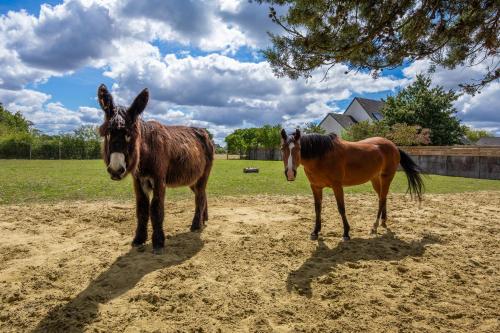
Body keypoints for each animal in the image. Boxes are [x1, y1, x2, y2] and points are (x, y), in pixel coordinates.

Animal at [98, 84, 214, 253]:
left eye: (129, 134)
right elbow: (141, 209)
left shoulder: (159, 180)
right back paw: (204, 219)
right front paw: (139, 239)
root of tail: (204, 132)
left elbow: (156, 209)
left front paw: (158, 242)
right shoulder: (138, 181)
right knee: (203, 194)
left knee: (199, 196)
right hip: (192, 178)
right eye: (108, 134)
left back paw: (196, 225)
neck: (147, 152)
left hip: (203, 175)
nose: (115, 170)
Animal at [280, 128, 424, 240]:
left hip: (386, 177)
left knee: (382, 199)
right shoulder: (315, 187)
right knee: (382, 197)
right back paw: (383, 221)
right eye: (282, 148)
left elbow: (341, 208)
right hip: (375, 179)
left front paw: (346, 233)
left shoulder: (337, 186)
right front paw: (315, 231)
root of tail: (393, 146)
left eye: (298, 148)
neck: (322, 155)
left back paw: (374, 226)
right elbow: (317, 208)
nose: (290, 173)